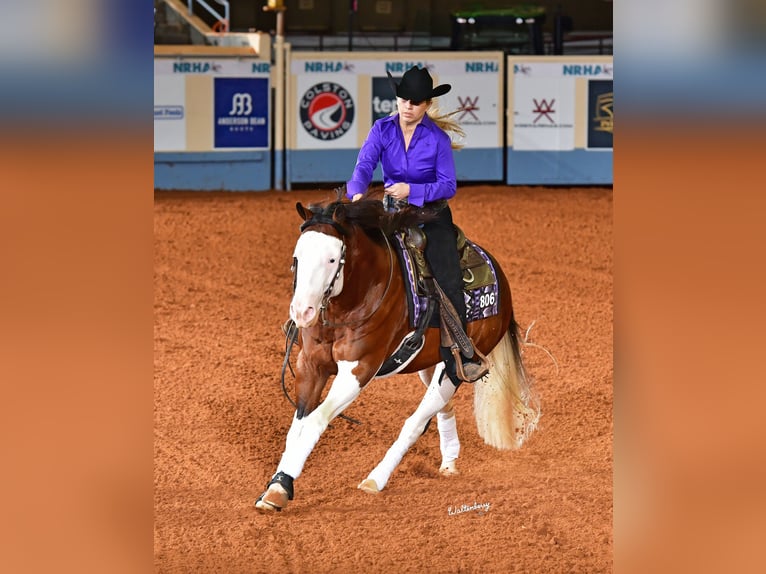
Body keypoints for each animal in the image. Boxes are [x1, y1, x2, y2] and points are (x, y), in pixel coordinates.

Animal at [255, 191, 536, 516]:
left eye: (332, 259)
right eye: (297, 257)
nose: (302, 312)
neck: (354, 298)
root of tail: (501, 279)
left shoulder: (358, 369)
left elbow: (315, 421)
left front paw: (280, 489)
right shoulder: (310, 365)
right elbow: (297, 427)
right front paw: (277, 486)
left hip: (455, 368)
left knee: (415, 423)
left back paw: (375, 479)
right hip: (431, 365)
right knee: (441, 408)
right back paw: (449, 462)